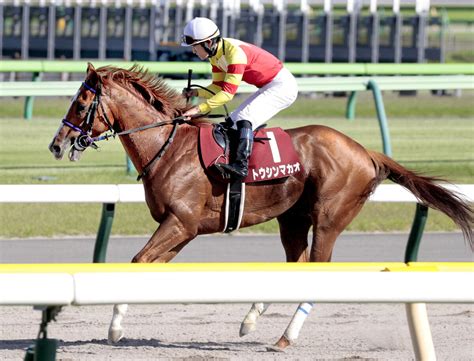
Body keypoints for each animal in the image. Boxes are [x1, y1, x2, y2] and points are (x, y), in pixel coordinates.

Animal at [47, 64, 470, 348]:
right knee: (295, 265)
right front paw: (117, 326)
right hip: (292, 219)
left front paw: (114, 327)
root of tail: (366, 152)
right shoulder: (182, 229)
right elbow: (144, 266)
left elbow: (137, 261)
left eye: (81, 102)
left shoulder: (180, 223)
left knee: (317, 270)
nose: (57, 143)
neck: (168, 149)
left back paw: (286, 337)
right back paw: (251, 319)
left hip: (329, 218)